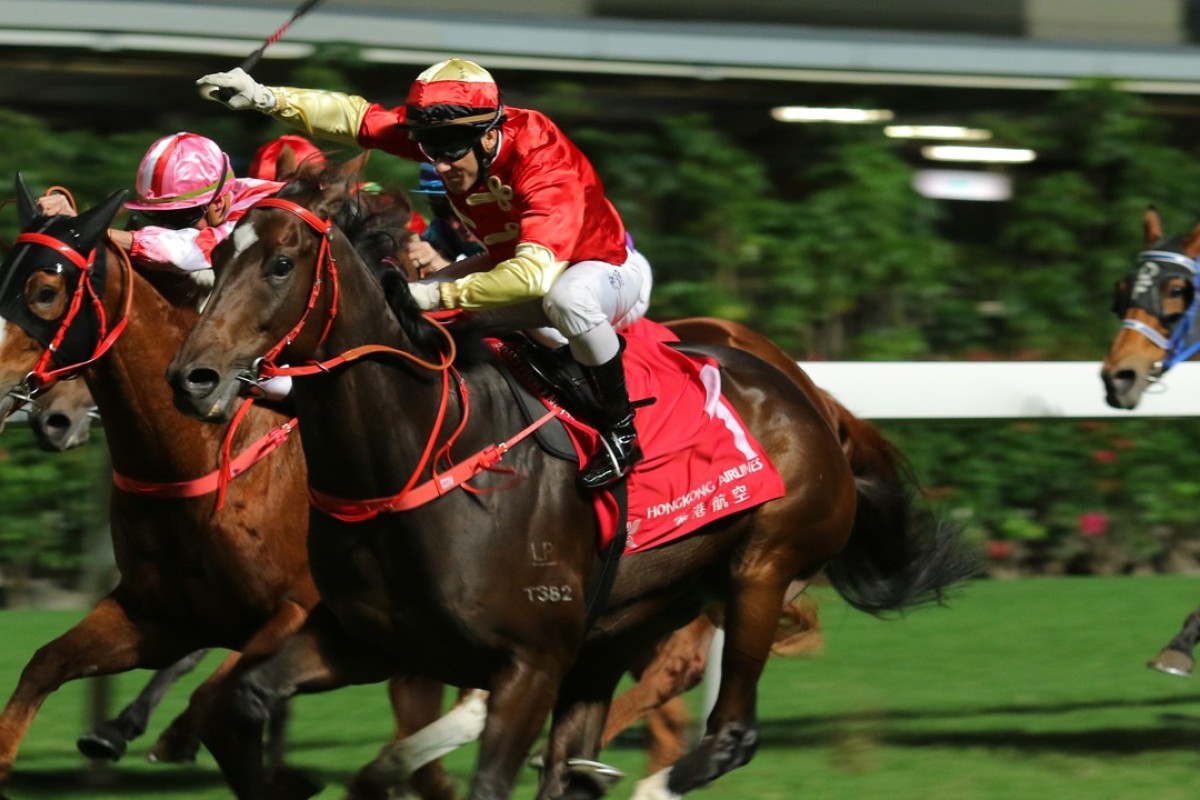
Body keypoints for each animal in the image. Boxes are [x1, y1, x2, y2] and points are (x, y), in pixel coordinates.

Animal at [166, 163, 974, 800]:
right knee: (581, 761)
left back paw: (651, 784)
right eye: (217, 254)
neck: (416, 458)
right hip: (621, 626)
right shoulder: (366, 637)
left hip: (761, 570)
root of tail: (812, 400)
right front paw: (295, 775)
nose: (192, 376)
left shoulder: (530, 661)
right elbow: (241, 701)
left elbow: (488, 778)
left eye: (280, 264)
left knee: (729, 733)